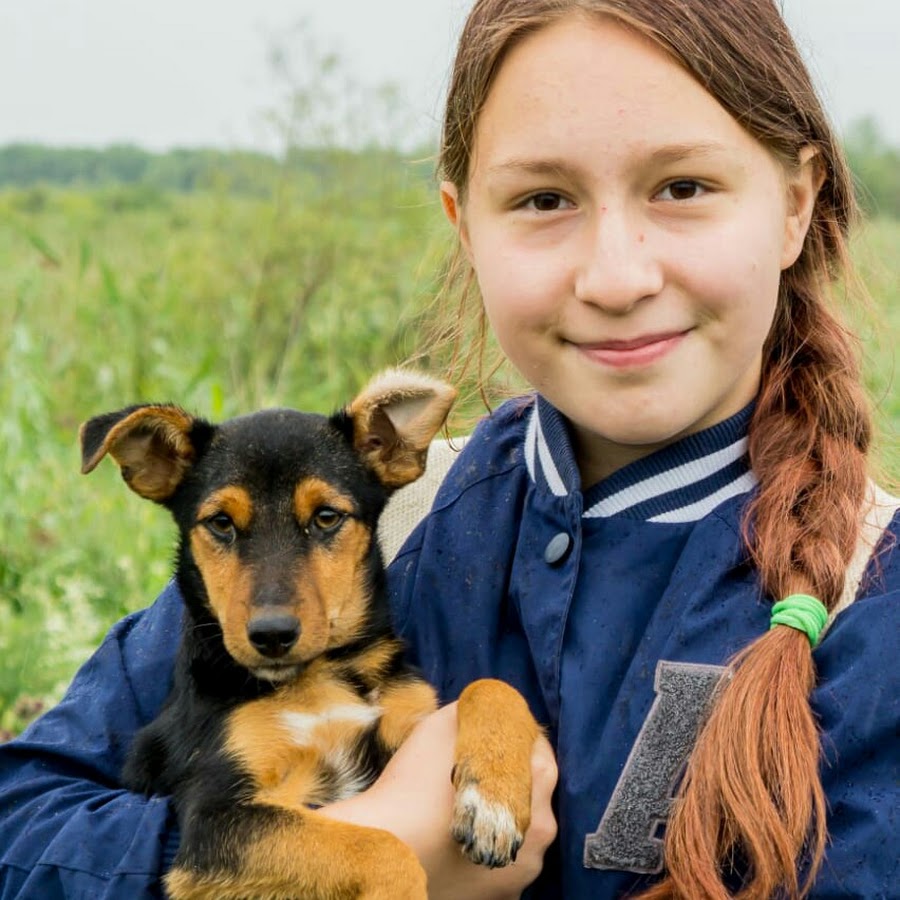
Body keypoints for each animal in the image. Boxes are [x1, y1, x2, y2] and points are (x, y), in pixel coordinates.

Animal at [81, 370, 536, 900]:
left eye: (326, 517)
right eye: (220, 523)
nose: (272, 635)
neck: (320, 677)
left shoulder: (410, 722)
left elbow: (491, 687)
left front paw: (492, 802)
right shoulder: (214, 819)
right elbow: (381, 844)